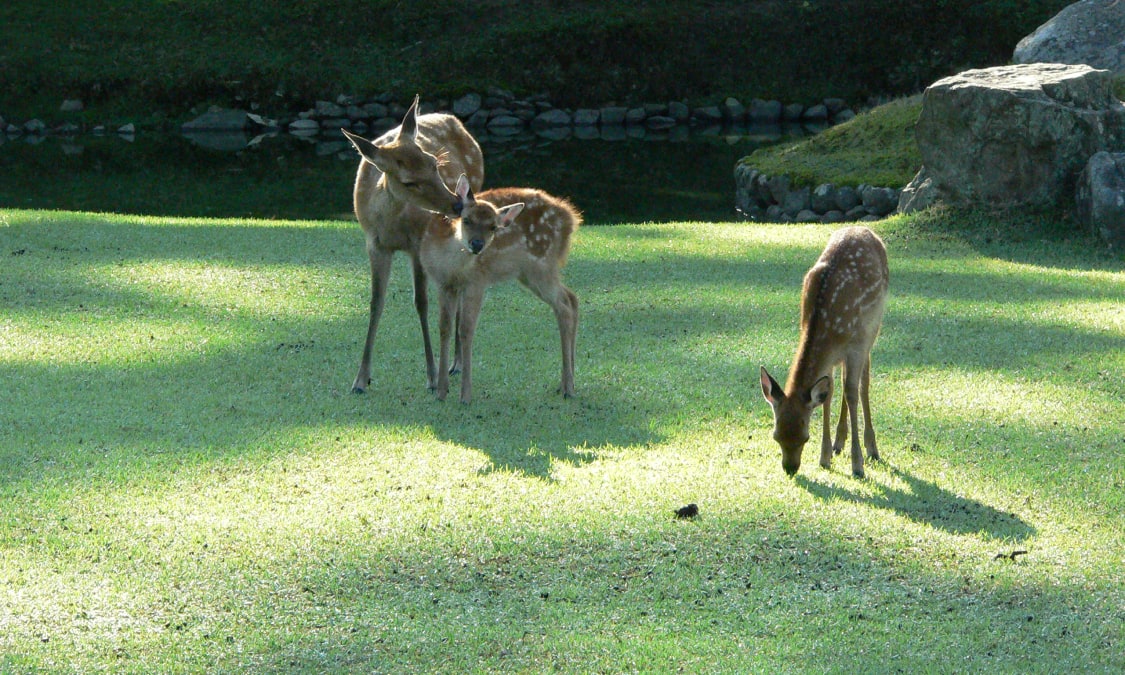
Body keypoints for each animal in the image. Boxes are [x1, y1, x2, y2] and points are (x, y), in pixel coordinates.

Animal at [342, 95, 483, 393]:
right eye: (408, 181)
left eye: (433, 163)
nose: (457, 204)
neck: (392, 225)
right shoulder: (375, 244)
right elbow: (376, 302)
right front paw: (361, 379)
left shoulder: (417, 244)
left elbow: (421, 302)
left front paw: (431, 375)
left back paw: (456, 363)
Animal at [420, 176, 580, 402]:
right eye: (466, 220)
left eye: (493, 227)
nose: (477, 244)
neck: (452, 264)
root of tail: (571, 219)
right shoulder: (444, 284)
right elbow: (445, 328)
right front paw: (442, 391)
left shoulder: (477, 281)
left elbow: (466, 329)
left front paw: (465, 395)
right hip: (529, 273)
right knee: (572, 298)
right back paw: (567, 383)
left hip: (541, 264)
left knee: (564, 305)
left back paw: (568, 388)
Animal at [765, 227, 886, 479]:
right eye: (776, 436)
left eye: (805, 437)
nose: (790, 468)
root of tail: (865, 229)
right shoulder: (830, 357)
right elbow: (827, 395)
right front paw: (825, 457)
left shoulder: (856, 345)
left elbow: (852, 393)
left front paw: (857, 464)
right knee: (843, 382)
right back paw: (838, 443)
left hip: (873, 328)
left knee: (863, 384)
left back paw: (872, 449)